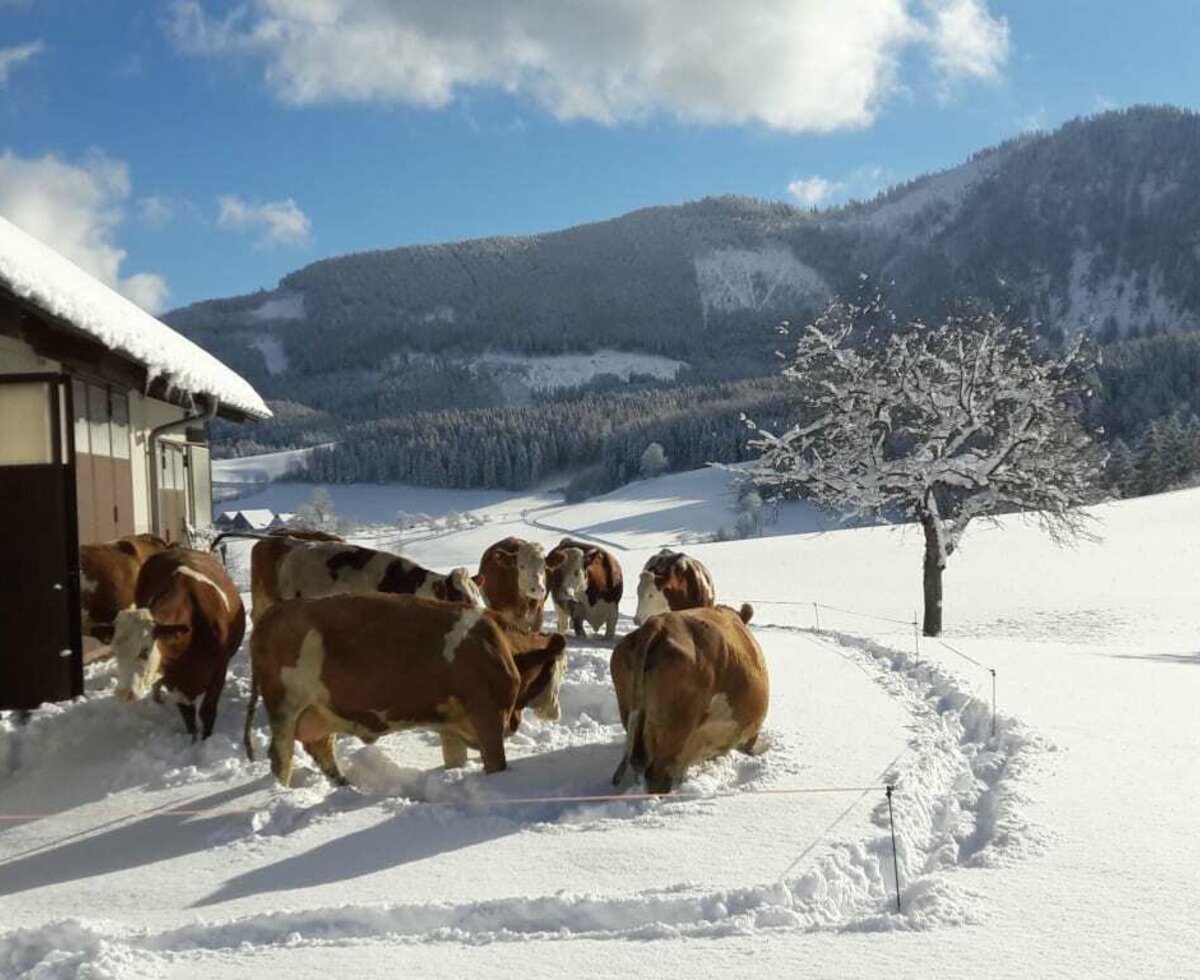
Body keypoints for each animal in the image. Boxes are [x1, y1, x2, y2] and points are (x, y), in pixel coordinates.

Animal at [109, 546, 244, 738]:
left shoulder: (219, 670)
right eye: (115, 652)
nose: (122, 694)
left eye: (145, 651)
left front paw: (205, 740)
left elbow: (207, 711)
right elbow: (188, 715)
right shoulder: (173, 678)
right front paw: (193, 740)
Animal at [246, 587, 568, 786]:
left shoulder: (452, 724)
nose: (557, 712)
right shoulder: (488, 717)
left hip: (319, 710)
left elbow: (454, 760)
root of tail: (273, 613)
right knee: (282, 757)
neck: (504, 646)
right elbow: (496, 763)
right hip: (285, 707)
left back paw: (346, 787)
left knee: (322, 747)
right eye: (560, 669)